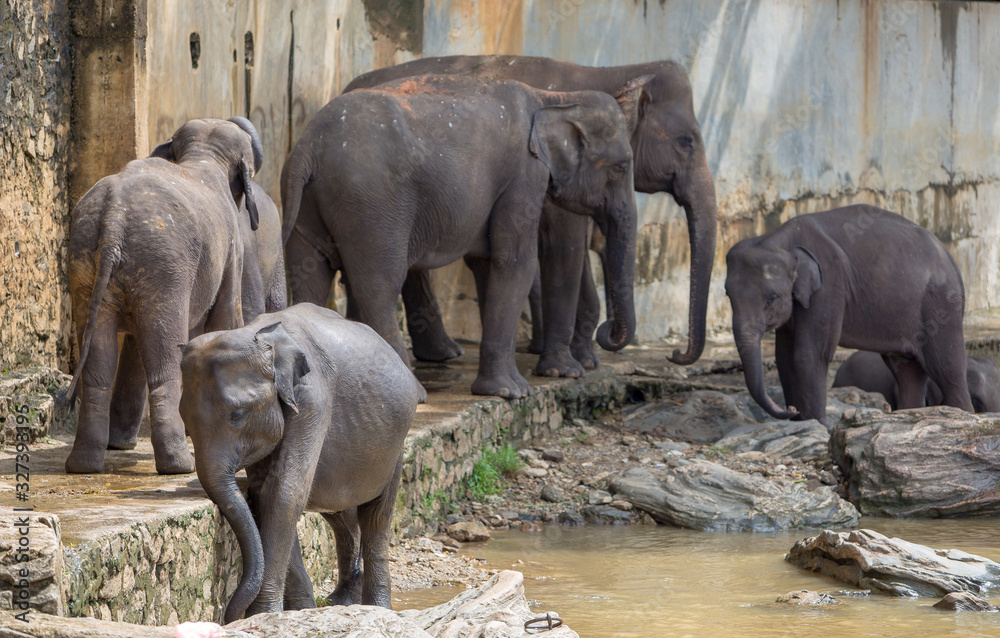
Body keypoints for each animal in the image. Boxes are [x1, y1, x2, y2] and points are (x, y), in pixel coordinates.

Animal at [64, 117, 267, 474]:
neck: (202, 157)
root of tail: (114, 212)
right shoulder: (232, 250)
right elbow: (226, 318)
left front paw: (120, 445)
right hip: (163, 266)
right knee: (164, 356)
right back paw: (179, 465)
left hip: (87, 259)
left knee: (101, 361)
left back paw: (84, 465)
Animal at [179, 303, 421, 622]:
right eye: (183, 416)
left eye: (238, 414)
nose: (229, 617)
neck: (259, 335)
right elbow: (264, 494)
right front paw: (301, 610)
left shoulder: (312, 399)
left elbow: (283, 493)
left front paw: (265, 615)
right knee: (341, 514)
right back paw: (340, 602)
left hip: (396, 445)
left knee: (377, 515)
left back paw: (376, 607)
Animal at [281, 74, 640, 399]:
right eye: (621, 167)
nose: (607, 333)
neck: (553, 97)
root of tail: (308, 145)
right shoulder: (524, 175)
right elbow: (516, 263)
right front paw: (511, 393)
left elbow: (486, 263)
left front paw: (507, 390)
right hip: (372, 204)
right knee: (379, 286)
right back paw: (413, 394)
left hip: (310, 206)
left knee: (312, 279)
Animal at [343, 56, 717, 376]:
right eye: (687, 141)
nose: (675, 355)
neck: (614, 72)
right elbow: (566, 247)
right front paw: (565, 370)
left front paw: (582, 362)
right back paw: (444, 354)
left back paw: (444, 353)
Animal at [725, 204, 974, 424]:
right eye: (728, 295)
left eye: (772, 298)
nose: (791, 409)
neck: (779, 241)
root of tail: (950, 257)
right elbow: (784, 356)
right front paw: (800, 423)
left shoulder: (830, 285)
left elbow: (809, 353)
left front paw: (816, 424)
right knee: (907, 373)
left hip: (941, 305)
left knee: (947, 370)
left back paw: (964, 414)